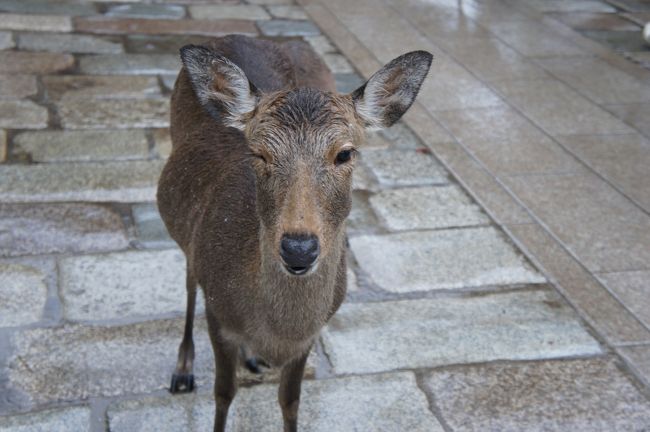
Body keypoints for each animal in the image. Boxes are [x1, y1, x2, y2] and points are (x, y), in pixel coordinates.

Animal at [157, 34, 432, 432]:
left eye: (345, 153)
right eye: (258, 154)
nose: (298, 248)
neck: (278, 329)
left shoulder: (309, 338)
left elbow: (291, 400)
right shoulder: (218, 315)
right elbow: (223, 393)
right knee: (190, 280)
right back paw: (183, 371)